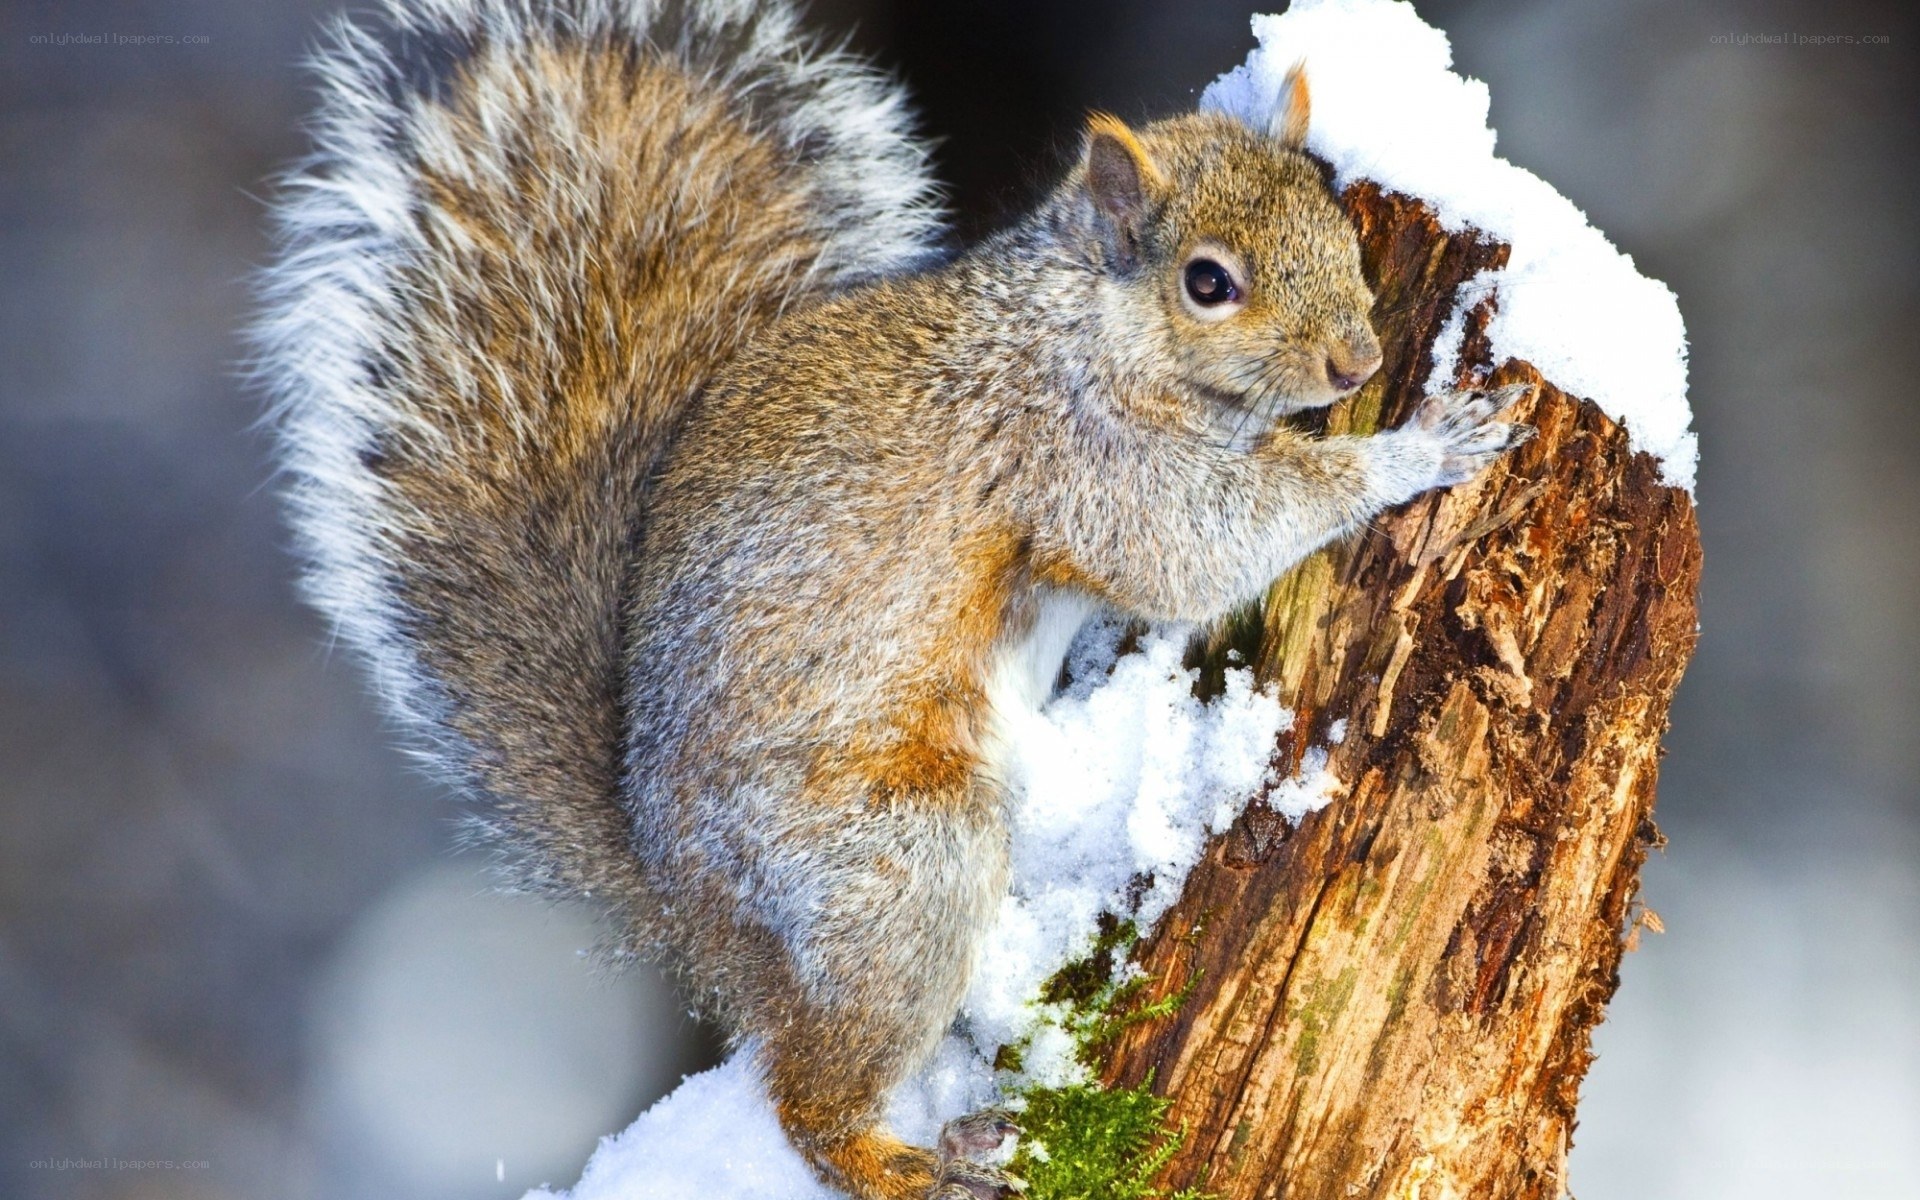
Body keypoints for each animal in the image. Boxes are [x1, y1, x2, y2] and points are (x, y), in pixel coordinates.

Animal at [256, 2, 1527, 1197]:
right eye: (1207, 283)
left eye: (1340, 229)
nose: (1359, 365)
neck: (1087, 324)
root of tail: (690, 917)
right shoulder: (1078, 457)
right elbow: (1192, 545)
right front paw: (1416, 450)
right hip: (894, 866)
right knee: (809, 1095)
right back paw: (894, 1160)